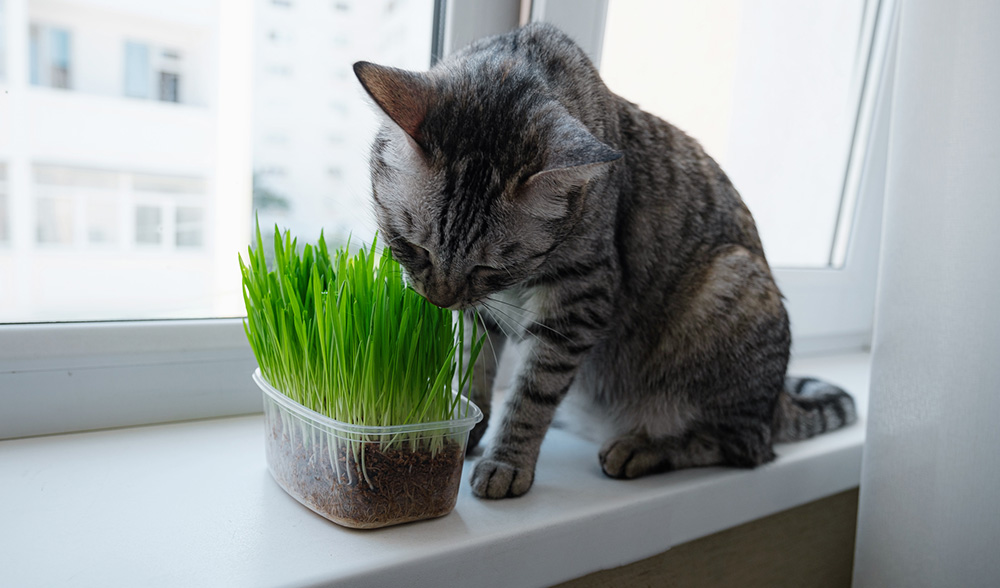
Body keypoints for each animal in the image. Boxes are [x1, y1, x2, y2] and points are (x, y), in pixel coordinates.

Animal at [354, 24, 860, 500]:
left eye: (488, 268)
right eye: (412, 246)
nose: (441, 301)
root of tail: (777, 403)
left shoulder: (580, 298)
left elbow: (532, 393)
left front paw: (507, 462)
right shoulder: (485, 313)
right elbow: (471, 373)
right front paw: (463, 428)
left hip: (733, 286)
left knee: (743, 446)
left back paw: (640, 448)